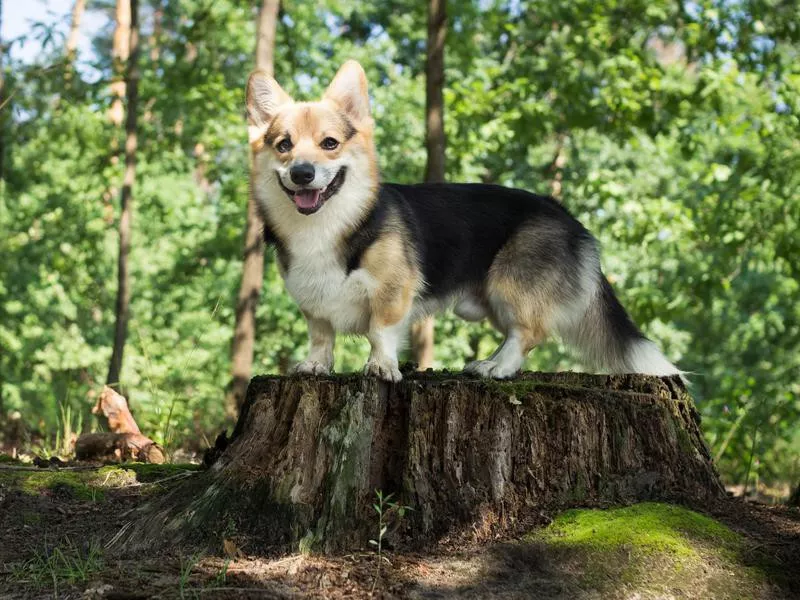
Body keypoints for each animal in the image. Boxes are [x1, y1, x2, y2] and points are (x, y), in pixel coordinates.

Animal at [245, 59, 680, 380]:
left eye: (330, 143)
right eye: (283, 145)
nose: (302, 173)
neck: (329, 224)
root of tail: (566, 215)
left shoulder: (393, 294)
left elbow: (380, 332)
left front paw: (381, 367)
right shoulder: (313, 305)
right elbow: (322, 336)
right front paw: (316, 366)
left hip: (511, 285)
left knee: (529, 332)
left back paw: (498, 368)